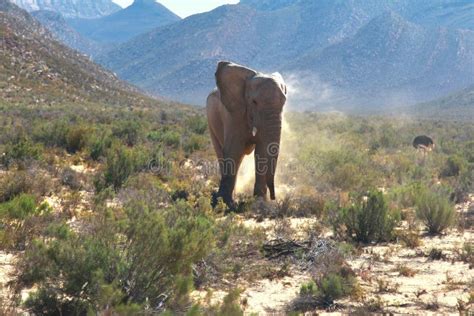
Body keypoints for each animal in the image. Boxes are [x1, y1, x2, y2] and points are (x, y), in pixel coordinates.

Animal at [207, 61, 288, 207]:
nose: (274, 198)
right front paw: (225, 204)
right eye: (254, 102)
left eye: (284, 102)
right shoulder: (234, 115)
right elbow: (234, 150)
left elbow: (262, 152)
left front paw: (259, 203)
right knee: (222, 153)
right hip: (211, 121)